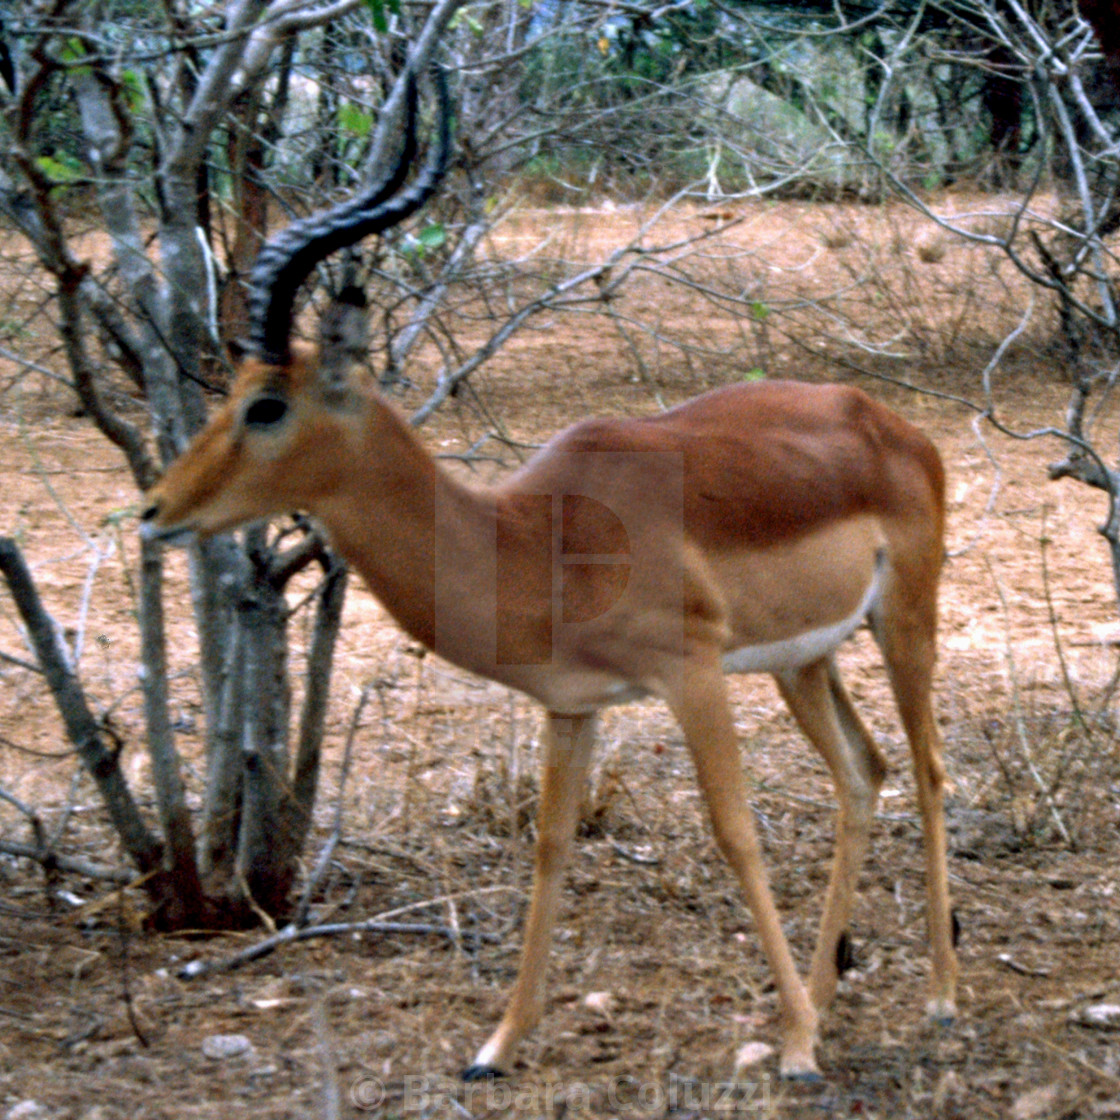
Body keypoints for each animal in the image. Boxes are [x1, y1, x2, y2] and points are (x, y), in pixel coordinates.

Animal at [142, 70, 963, 1075]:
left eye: (266, 404)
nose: (156, 510)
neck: (528, 537)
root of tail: (889, 424)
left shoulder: (690, 676)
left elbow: (734, 834)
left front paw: (799, 1046)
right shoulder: (570, 706)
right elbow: (551, 845)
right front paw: (498, 1042)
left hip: (903, 620)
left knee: (926, 768)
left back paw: (932, 998)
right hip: (803, 662)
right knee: (862, 773)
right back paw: (826, 993)